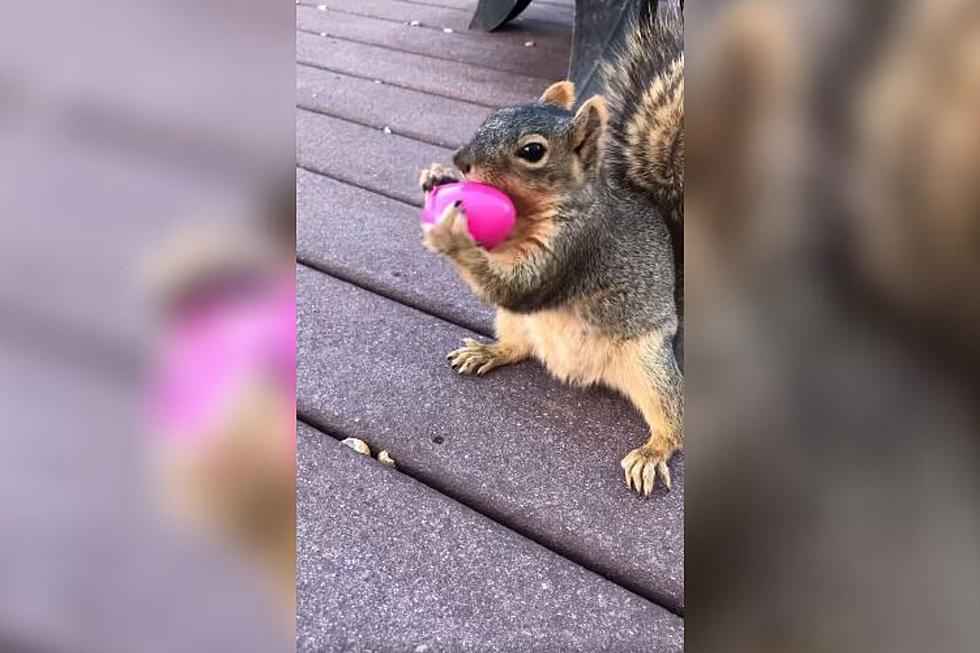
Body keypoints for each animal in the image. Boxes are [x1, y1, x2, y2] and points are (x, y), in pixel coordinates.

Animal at [420, 1, 680, 494]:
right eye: (491, 116)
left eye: (532, 151)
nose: (462, 160)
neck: (534, 211)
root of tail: (576, 372)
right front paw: (435, 176)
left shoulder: (577, 248)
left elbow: (523, 285)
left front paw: (453, 233)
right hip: (517, 325)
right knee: (518, 347)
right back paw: (488, 351)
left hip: (648, 359)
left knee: (671, 413)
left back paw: (654, 450)